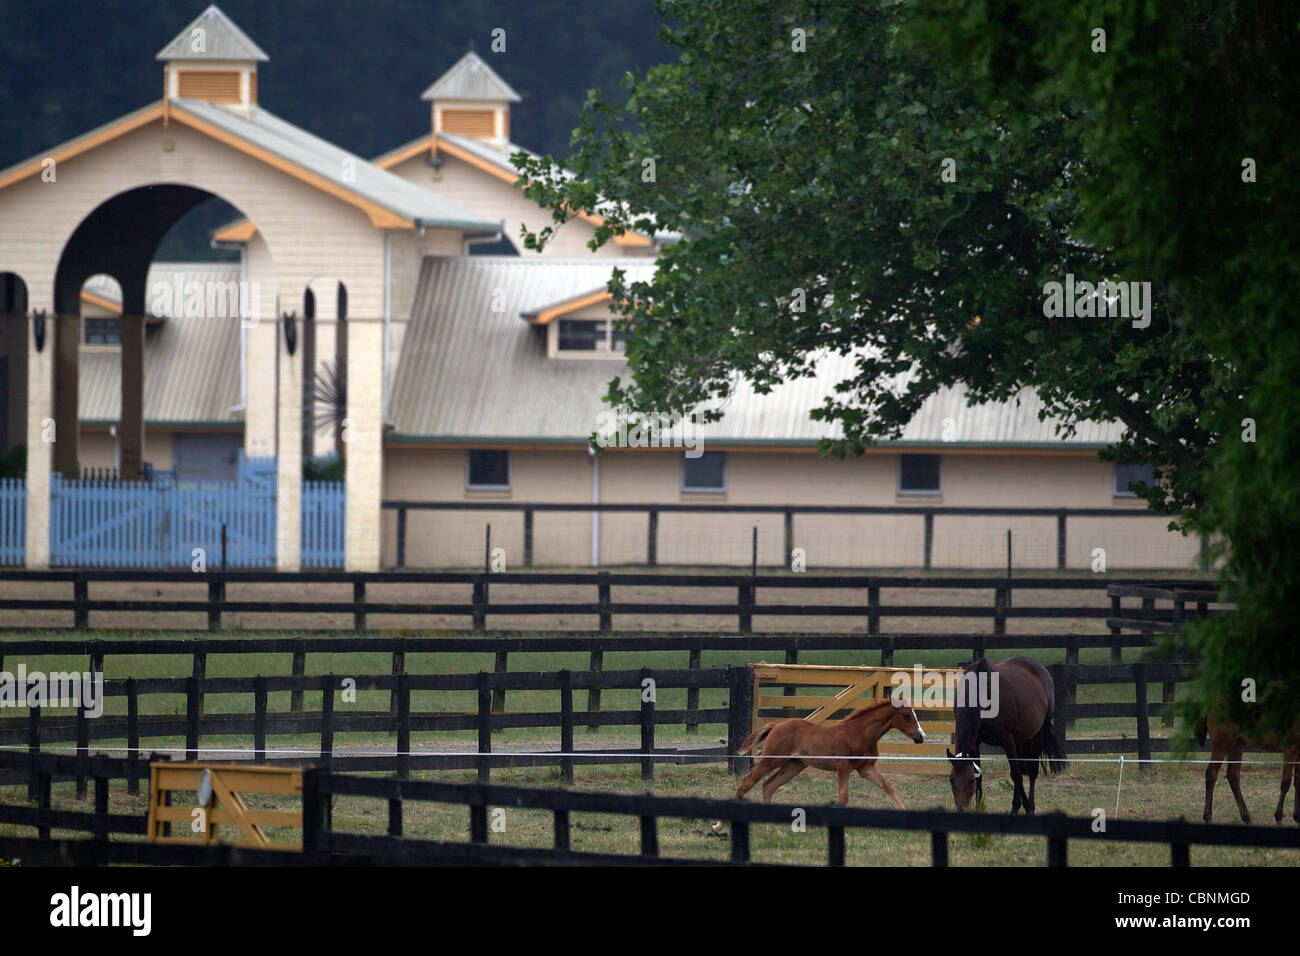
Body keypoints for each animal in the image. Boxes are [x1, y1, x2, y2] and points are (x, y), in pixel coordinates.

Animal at [946, 658, 1066, 816]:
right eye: (951, 780)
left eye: (971, 780)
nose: (961, 809)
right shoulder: (976, 742)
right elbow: (983, 775)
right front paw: (979, 808)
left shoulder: (1007, 740)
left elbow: (1016, 775)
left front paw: (1025, 807)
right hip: (1020, 739)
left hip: (1037, 736)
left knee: (1032, 772)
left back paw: (1030, 805)